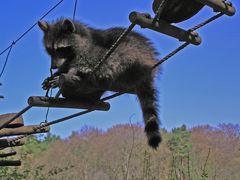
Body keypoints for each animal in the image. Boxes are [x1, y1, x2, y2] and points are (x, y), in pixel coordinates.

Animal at [38, 18, 161, 148]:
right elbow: (65, 66)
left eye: (60, 49)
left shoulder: (91, 49)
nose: (53, 66)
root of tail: (148, 71)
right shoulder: (68, 60)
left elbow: (89, 58)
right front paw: (54, 75)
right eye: (50, 50)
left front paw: (68, 73)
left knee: (116, 57)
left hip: (135, 55)